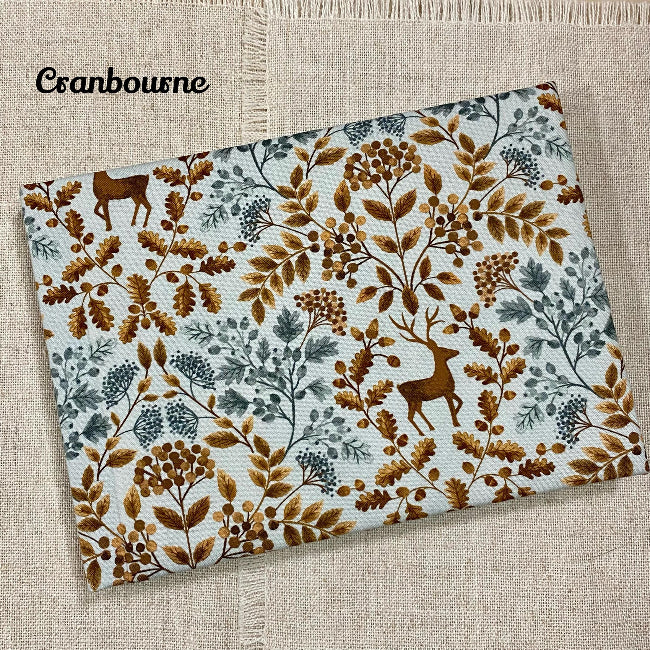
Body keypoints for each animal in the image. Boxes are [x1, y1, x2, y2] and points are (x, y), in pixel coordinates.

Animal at [390, 307, 463, 435]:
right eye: (443, 349)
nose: (456, 351)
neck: (443, 375)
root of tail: (398, 387)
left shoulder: (450, 391)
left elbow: (460, 402)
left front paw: (456, 415)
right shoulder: (446, 392)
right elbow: (452, 408)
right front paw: (456, 423)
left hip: (413, 400)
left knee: (413, 414)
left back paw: (428, 428)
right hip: (413, 399)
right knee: (412, 415)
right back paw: (425, 431)